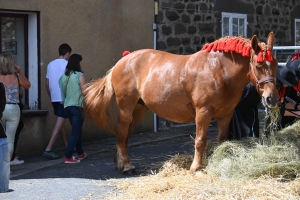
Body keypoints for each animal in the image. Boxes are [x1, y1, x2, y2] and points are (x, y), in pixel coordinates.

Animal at [84, 32, 278, 174]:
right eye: (259, 65)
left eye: (275, 64)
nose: (272, 98)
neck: (219, 70)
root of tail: (122, 61)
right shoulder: (203, 112)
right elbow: (200, 141)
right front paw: (196, 167)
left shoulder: (226, 114)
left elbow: (222, 139)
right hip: (126, 106)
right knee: (122, 131)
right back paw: (126, 166)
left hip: (139, 108)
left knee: (124, 135)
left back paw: (119, 162)